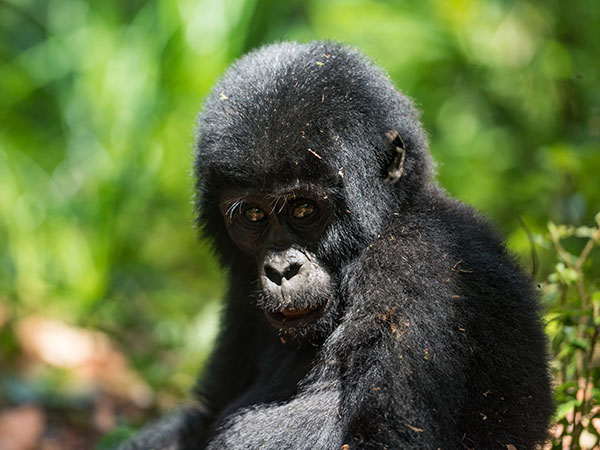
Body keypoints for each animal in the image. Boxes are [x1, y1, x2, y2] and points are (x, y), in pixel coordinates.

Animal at [118, 42, 552, 450]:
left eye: (304, 209)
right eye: (253, 215)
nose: (281, 269)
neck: (391, 219)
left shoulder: (415, 263)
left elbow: (385, 438)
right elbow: (205, 412)